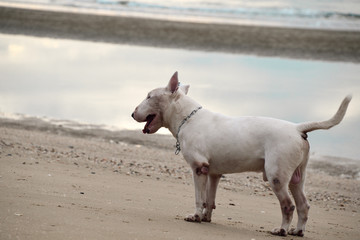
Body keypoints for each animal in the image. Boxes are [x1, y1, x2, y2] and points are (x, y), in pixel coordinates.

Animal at [131, 71, 352, 236]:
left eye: (149, 96)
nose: (132, 114)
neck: (188, 118)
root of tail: (298, 128)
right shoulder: (213, 172)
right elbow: (209, 199)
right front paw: (206, 218)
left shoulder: (199, 169)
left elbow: (198, 197)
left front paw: (195, 217)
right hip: (297, 177)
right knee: (304, 204)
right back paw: (297, 231)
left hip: (277, 175)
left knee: (288, 205)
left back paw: (281, 230)